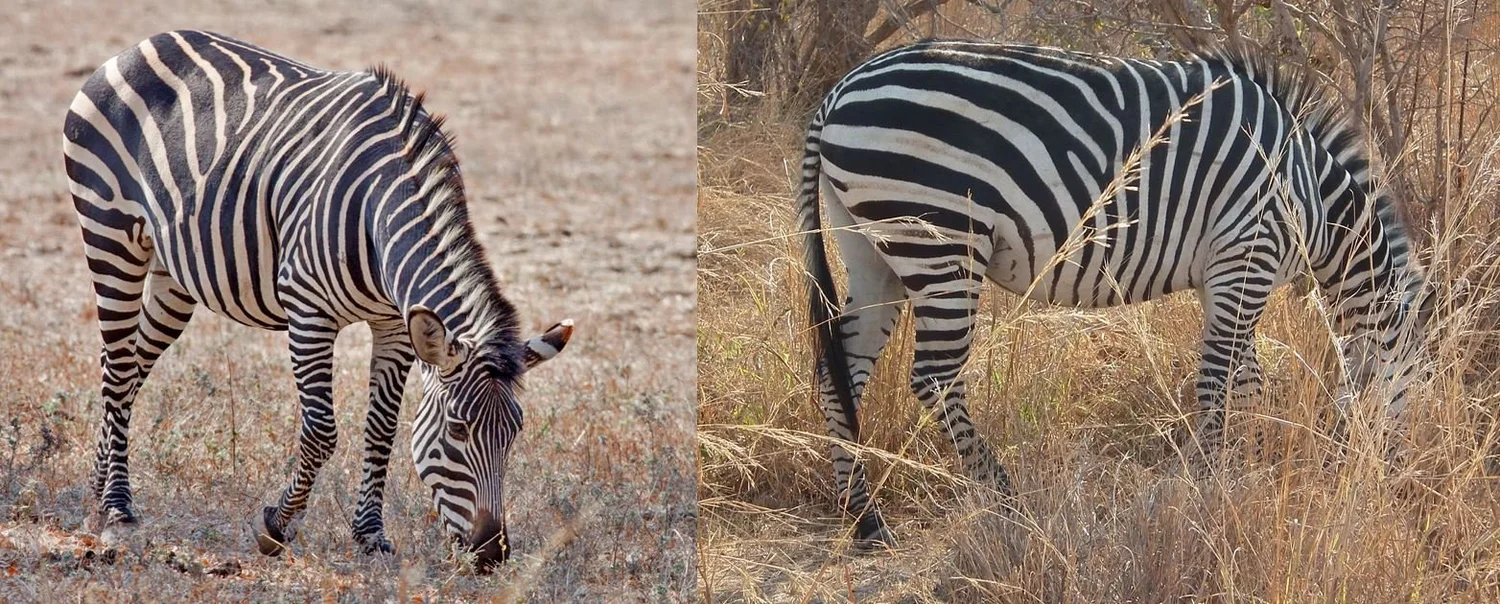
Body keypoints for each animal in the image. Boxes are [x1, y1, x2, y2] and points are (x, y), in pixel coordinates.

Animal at [63, 30, 575, 568]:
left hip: (174, 273)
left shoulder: (395, 324)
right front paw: (276, 527)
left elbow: (382, 429)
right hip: (110, 235)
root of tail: (147, 42)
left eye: (515, 432)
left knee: (126, 366)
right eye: (457, 430)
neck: (379, 215)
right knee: (119, 368)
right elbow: (322, 431)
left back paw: (99, 487)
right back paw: (117, 507)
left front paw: (369, 534)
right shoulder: (308, 311)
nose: (493, 553)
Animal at [797, 41, 1433, 548]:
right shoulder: (1246, 255)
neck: (1313, 202)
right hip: (940, 236)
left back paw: (865, 518)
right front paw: (1211, 488)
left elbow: (1246, 381)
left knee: (840, 369)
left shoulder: (1227, 274)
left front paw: (1246, 468)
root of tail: (839, 92)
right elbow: (1217, 381)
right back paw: (1006, 501)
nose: (1404, 487)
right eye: (1417, 383)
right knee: (934, 376)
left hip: (873, 248)